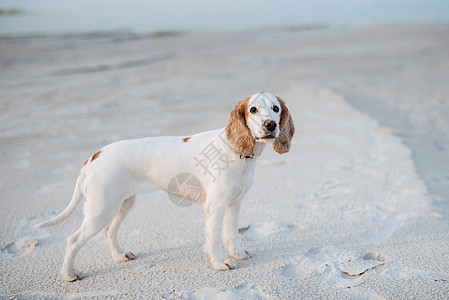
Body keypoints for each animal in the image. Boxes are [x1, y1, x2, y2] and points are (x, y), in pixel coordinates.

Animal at [35, 91, 294, 282]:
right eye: (253, 110)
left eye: (276, 109)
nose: (271, 125)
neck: (238, 152)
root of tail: (93, 156)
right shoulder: (215, 206)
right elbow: (214, 239)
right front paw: (220, 263)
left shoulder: (235, 204)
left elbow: (231, 234)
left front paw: (237, 255)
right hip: (101, 209)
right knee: (73, 240)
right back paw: (68, 275)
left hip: (122, 204)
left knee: (109, 231)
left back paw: (119, 256)